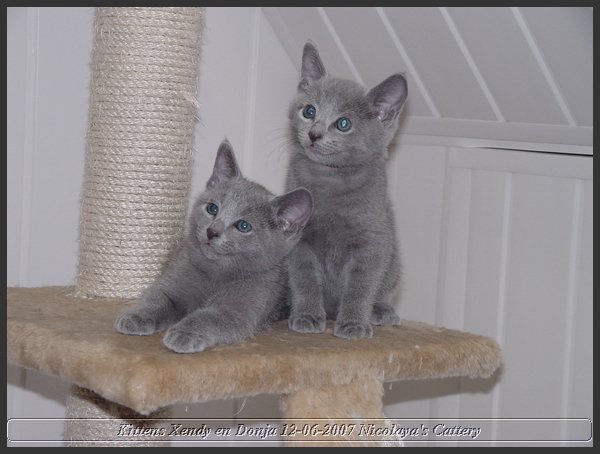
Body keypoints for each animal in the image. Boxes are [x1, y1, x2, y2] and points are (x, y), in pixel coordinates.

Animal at [116, 140, 314, 352]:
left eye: (243, 226)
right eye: (212, 208)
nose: (212, 231)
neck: (215, 274)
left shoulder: (239, 309)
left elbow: (209, 316)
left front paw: (185, 333)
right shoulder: (172, 280)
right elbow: (158, 297)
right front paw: (137, 316)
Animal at [286, 42, 408, 338]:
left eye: (343, 124)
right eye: (309, 111)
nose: (314, 134)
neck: (330, 179)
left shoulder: (371, 240)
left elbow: (360, 285)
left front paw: (353, 323)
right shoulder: (299, 238)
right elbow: (304, 277)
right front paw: (306, 315)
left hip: (394, 262)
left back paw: (380, 311)